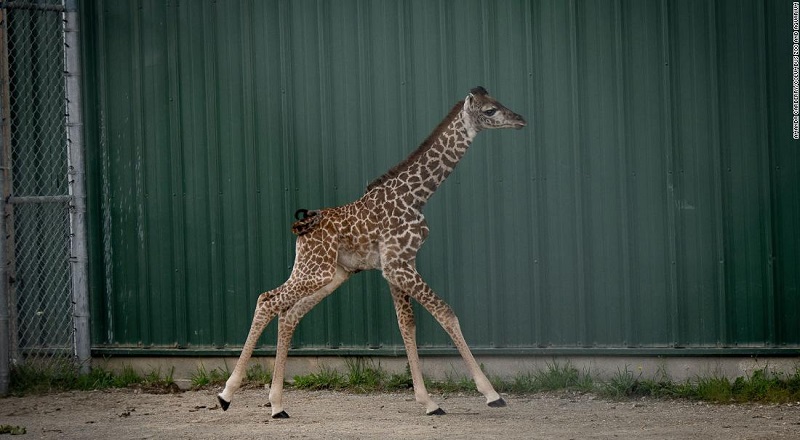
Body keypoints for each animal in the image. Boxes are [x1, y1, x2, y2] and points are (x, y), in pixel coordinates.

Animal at [219, 85, 528, 416]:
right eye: (490, 111)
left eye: (498, 102)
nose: (520, 120)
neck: (416, 196)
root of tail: (302, 228)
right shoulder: (398, 265)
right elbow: (445, 313)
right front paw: (490, 393)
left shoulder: (398, 265)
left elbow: (407, 325)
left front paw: (428, 401)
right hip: (316, 271)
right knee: (267, 300)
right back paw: (226, 395)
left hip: (331, 275)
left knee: (288, 314)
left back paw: (277, 404)